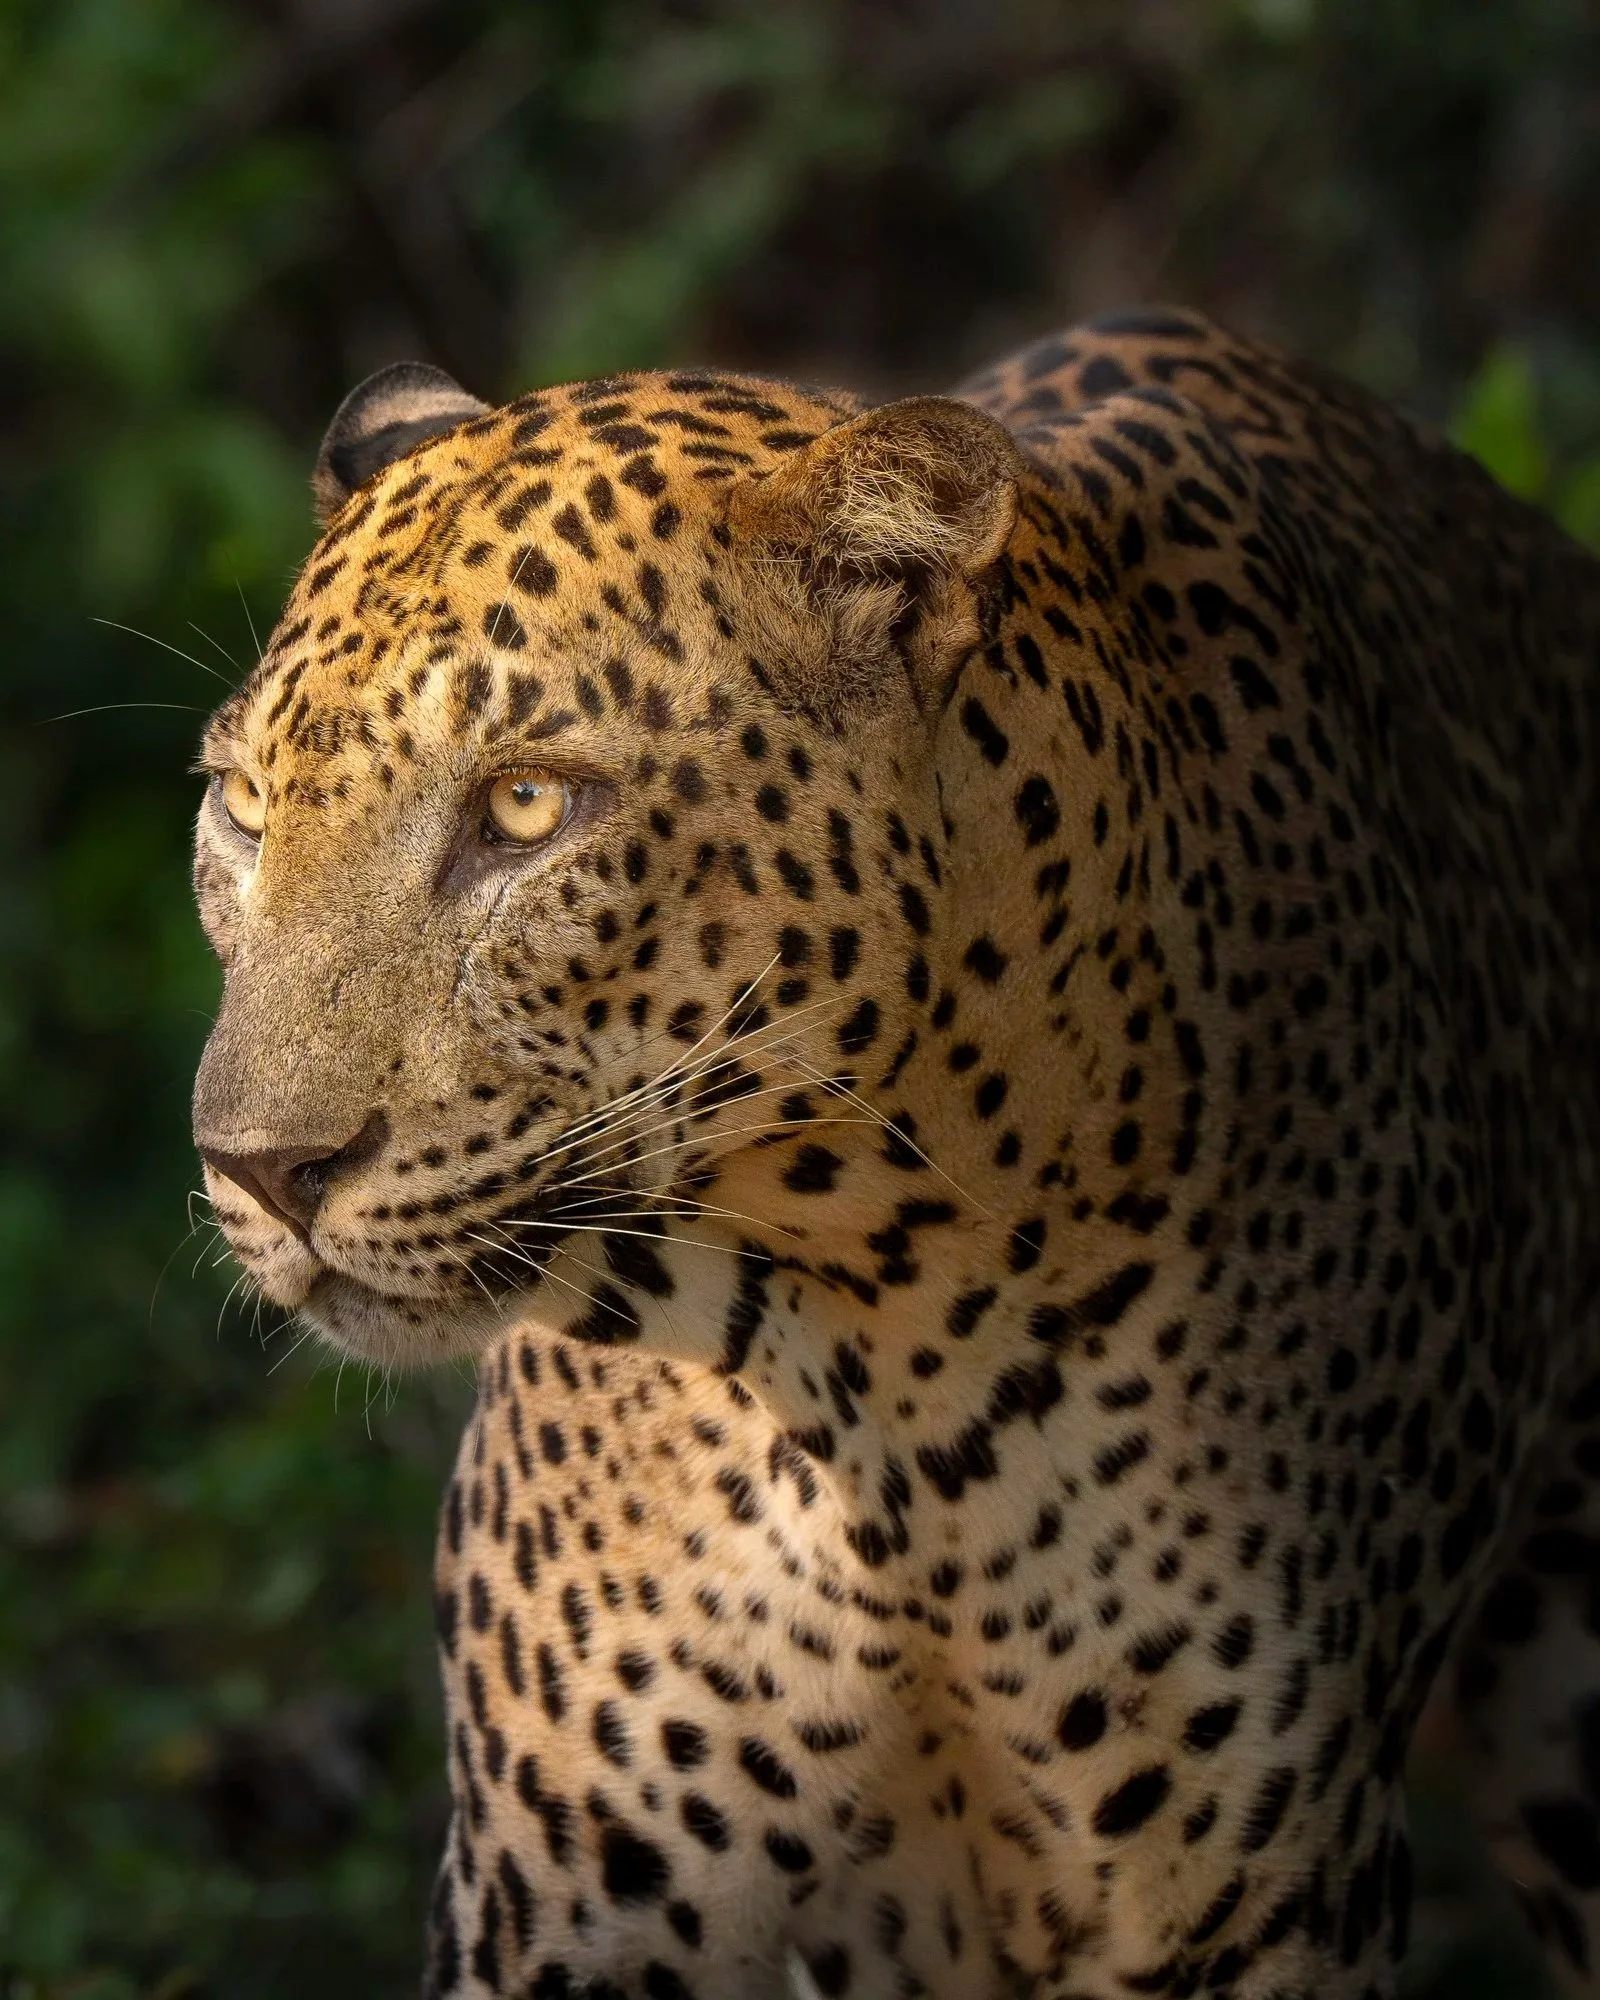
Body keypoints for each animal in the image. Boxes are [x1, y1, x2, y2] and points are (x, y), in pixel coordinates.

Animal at [190, 307, 1600, 1999]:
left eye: (527, 806)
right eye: (242, 808)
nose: (260, 1168)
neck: (866, 1361)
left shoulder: (1247, 1896)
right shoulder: (569, 1894)